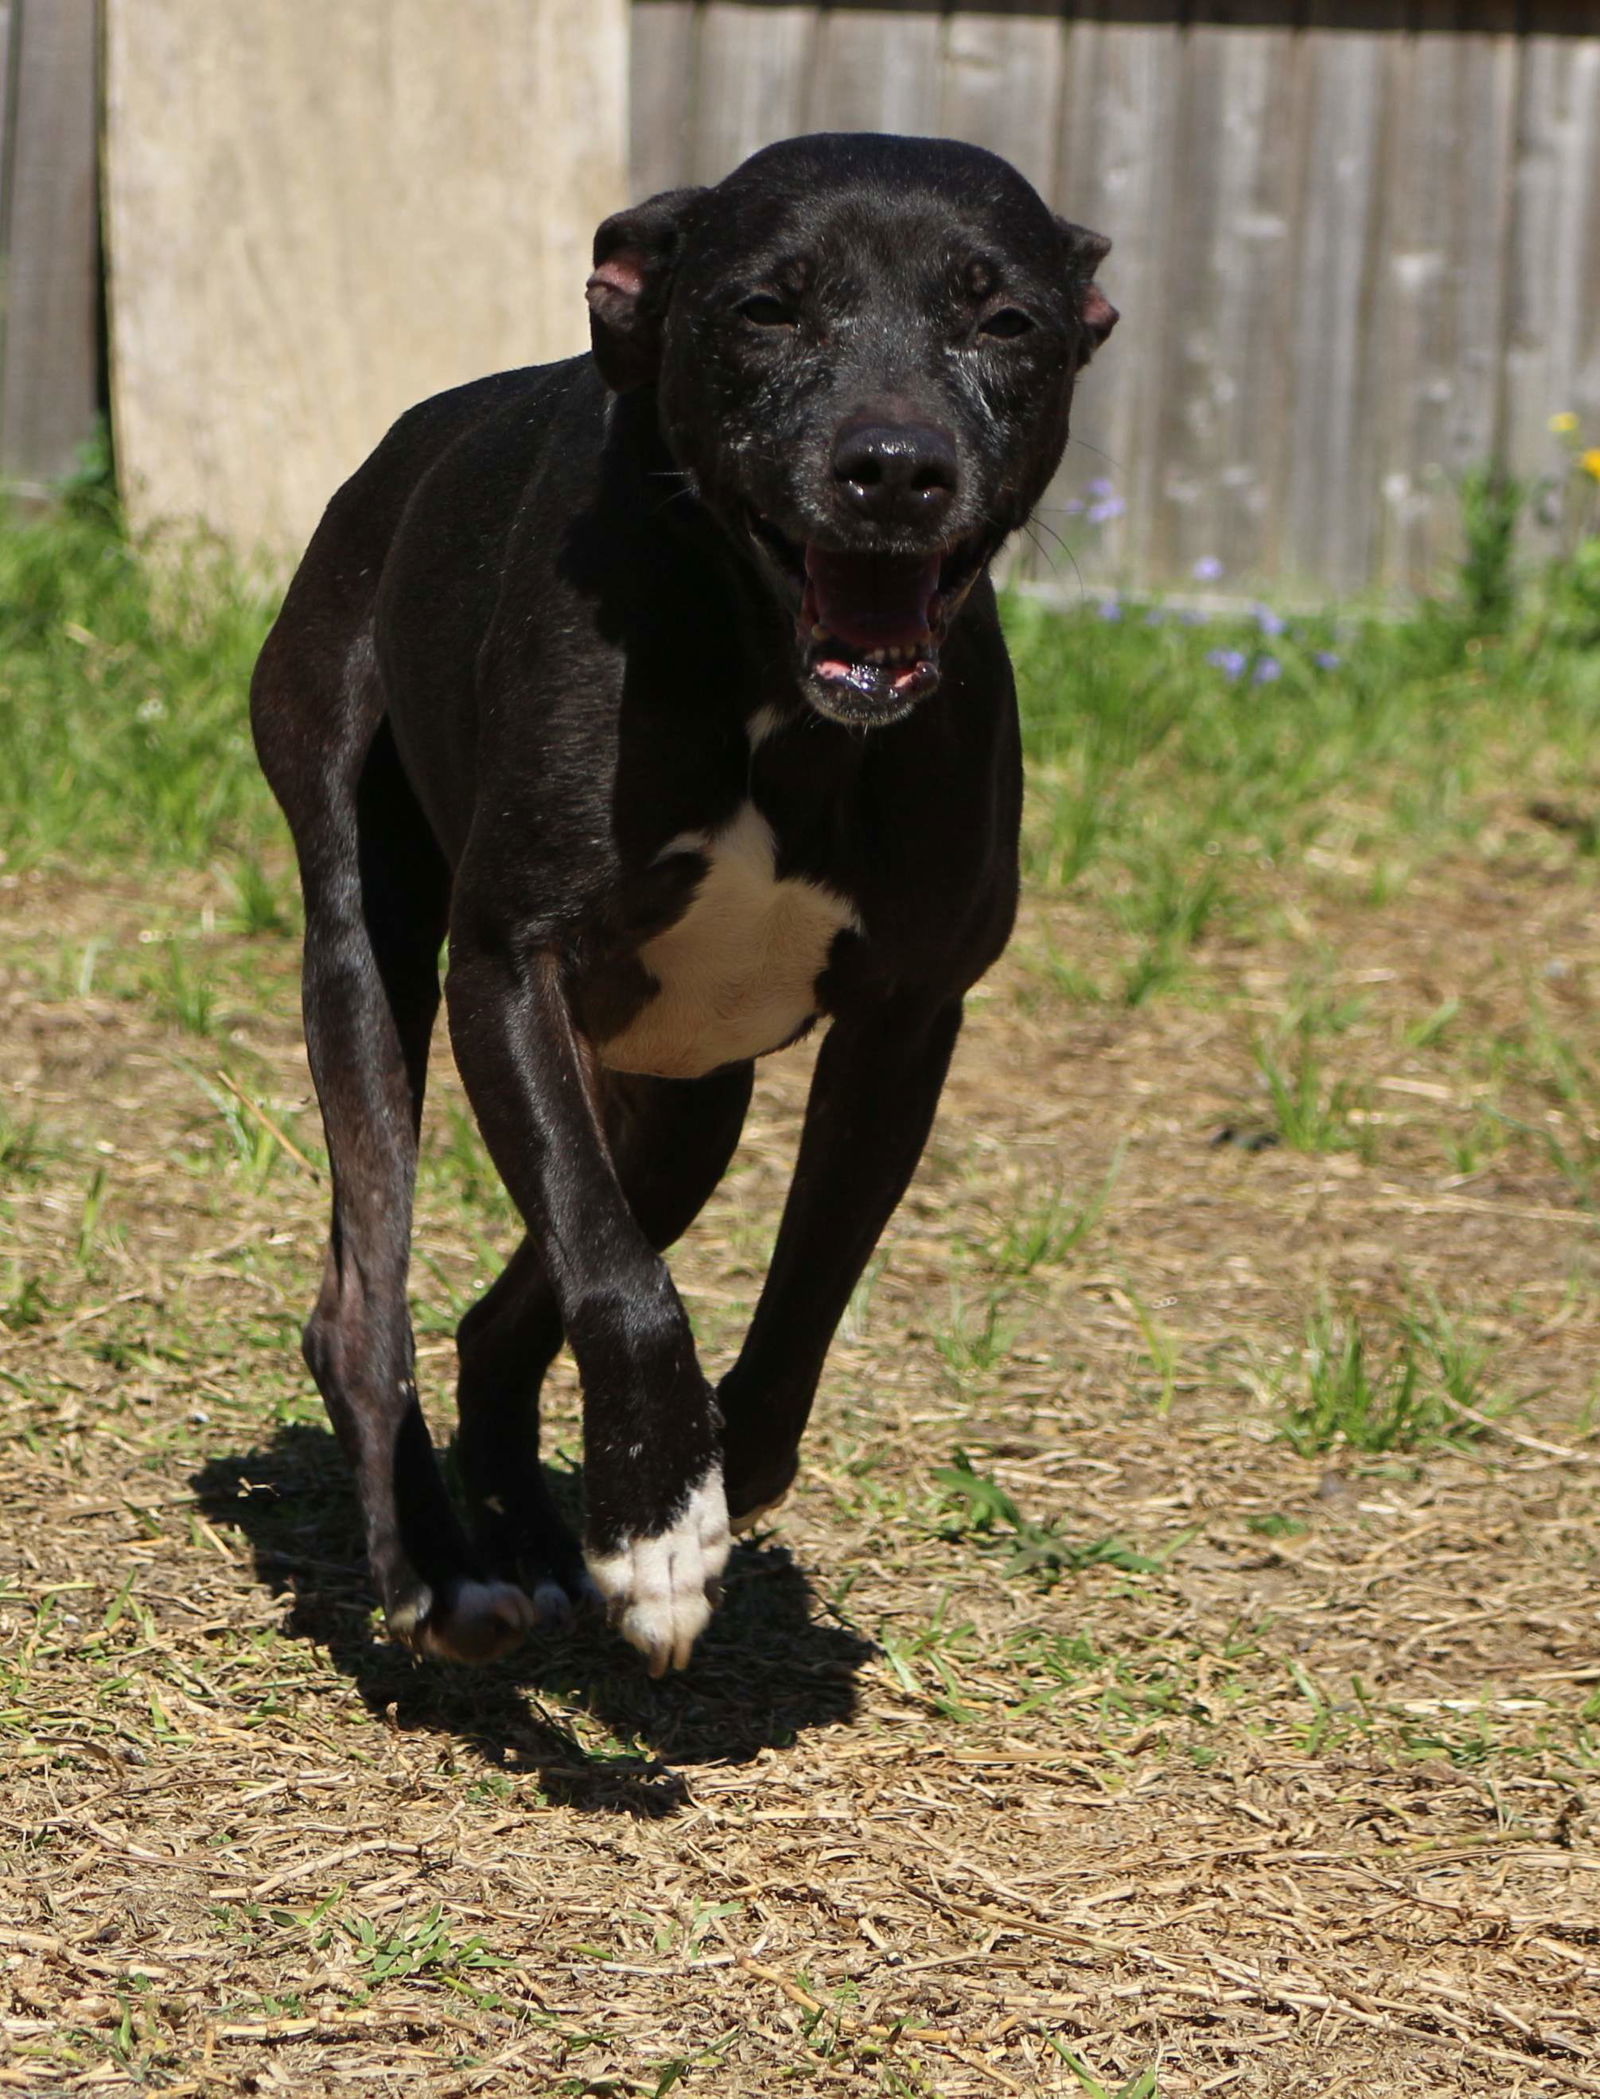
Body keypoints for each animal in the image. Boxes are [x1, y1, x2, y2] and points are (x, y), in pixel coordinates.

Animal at [249, 131, 1108, 1670]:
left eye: (1006, 320)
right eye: (766, 307)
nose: (895, 469)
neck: (784, 697)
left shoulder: (904, 1024)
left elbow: (807, 1283)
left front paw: (708, 1476)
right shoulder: (507, 969)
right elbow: (621, 1276)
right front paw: (657, 1518)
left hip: (687, 1108)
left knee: (501, 1318)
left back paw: (538, 1532)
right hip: (367, 949)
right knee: (370, 1296)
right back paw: (440, 1565)